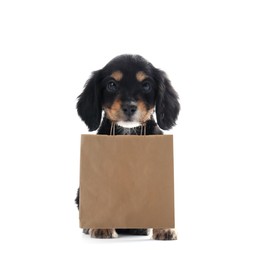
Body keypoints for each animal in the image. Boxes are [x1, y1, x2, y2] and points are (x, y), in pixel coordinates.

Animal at [75, 54, 181, 240]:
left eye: (146, 85)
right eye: (111, 84)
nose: (129, 107)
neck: (128, 132)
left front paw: (165, 228)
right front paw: (102, 226)